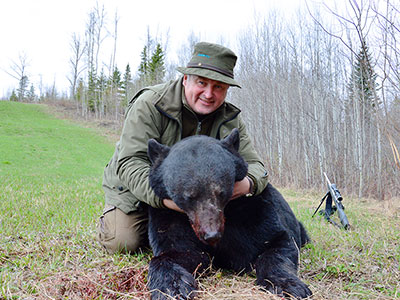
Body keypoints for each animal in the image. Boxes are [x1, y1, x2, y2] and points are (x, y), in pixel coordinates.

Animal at [145, 127, 310, 298]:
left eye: (221, 192)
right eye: (189, 197)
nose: (212, 235)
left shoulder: (252, 210)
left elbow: (277, 243)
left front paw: (289, 285)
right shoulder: (169, 216)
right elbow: (178, 252)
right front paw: (173, 288)